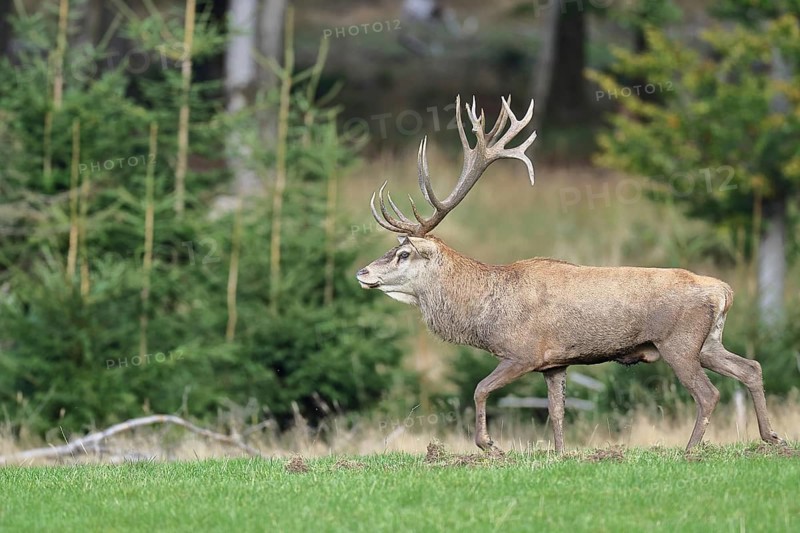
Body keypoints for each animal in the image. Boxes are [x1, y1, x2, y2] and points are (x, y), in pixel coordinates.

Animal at [356, 95, 785, 455]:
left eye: (403, 253)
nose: (362, 272)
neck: (483, 312)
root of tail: (723, 290)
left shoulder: (523, 352)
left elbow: (479, 389)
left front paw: (489, 445)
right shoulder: (555, 362)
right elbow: (557, 411)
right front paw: (560, 453)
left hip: (678, 342)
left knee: (708, 393)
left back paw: (691, 449)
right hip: (707, 342)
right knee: (751, 367)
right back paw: (771, 437)